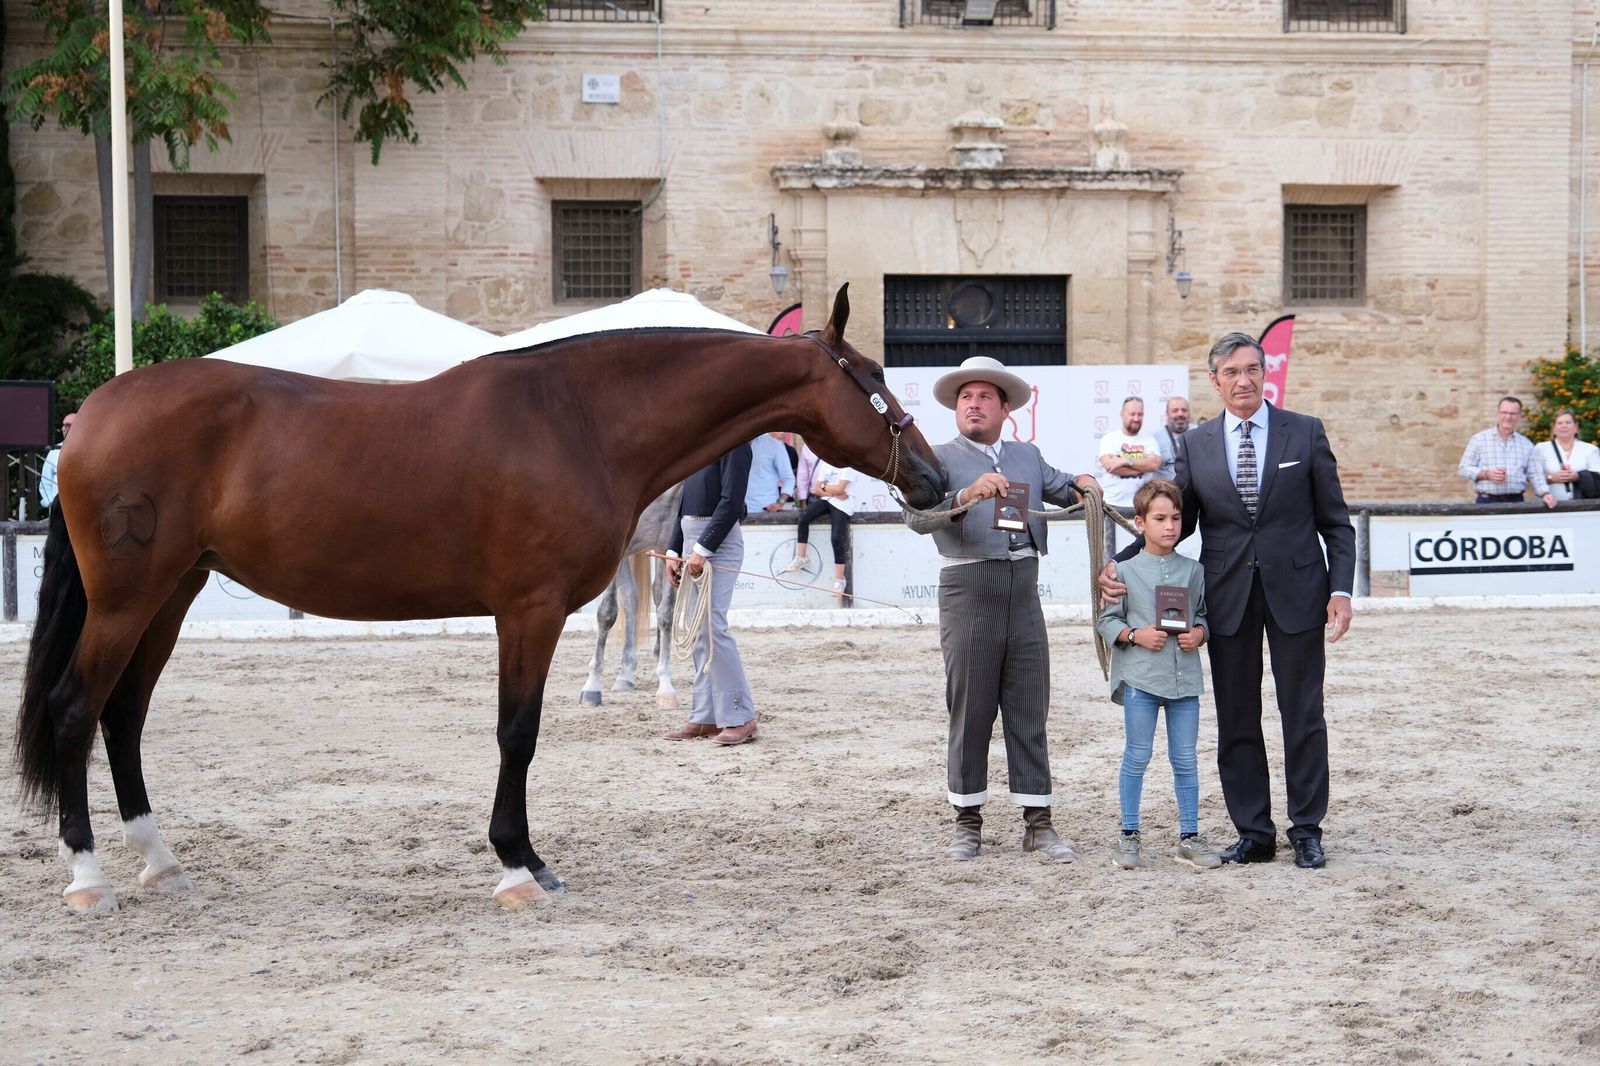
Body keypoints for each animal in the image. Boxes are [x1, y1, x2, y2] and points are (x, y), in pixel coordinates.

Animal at [577, 485, 682, 710]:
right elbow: (607, 613)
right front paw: (592, 687)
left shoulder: (671, 547)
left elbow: (666, 614)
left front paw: (666, 686)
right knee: (629, 597)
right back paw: (625, 675)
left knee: (651, 594)